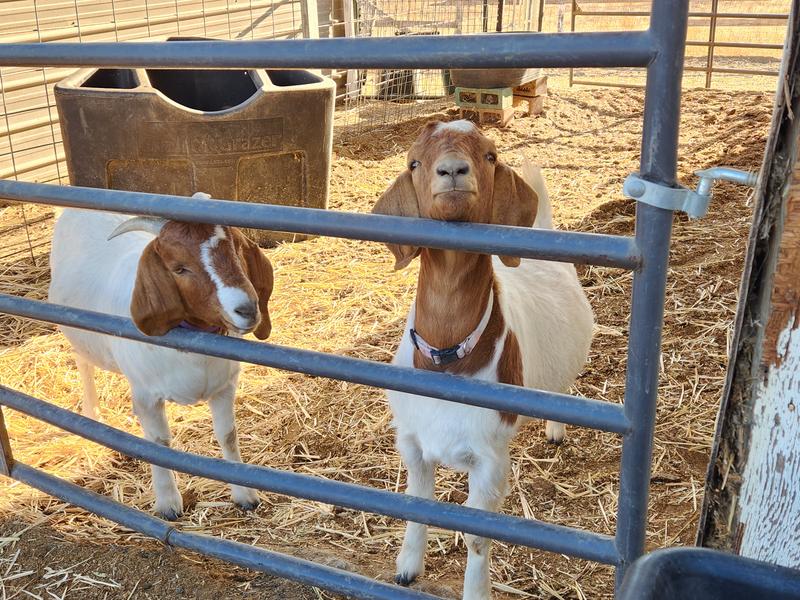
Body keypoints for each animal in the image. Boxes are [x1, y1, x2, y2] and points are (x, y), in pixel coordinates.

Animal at [48, 195, 273, 520]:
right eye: (179, 268)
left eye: (236, 249)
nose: (247, 309)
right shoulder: (147, 397)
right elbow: (159, 444)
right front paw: (168, 504)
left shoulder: (224, 387)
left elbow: (228, 434)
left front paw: (245, 495)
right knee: (83, 362)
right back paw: (93, 412)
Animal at [372, 121, 594, 599]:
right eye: (413, 161)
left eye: (491, 155)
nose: (453, 170)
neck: (446, 361)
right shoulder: (412, 441)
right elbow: (417, 505)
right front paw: (406, 568)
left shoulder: (490, 458)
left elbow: (477, 535)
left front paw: (476, 591)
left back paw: (556, 429)